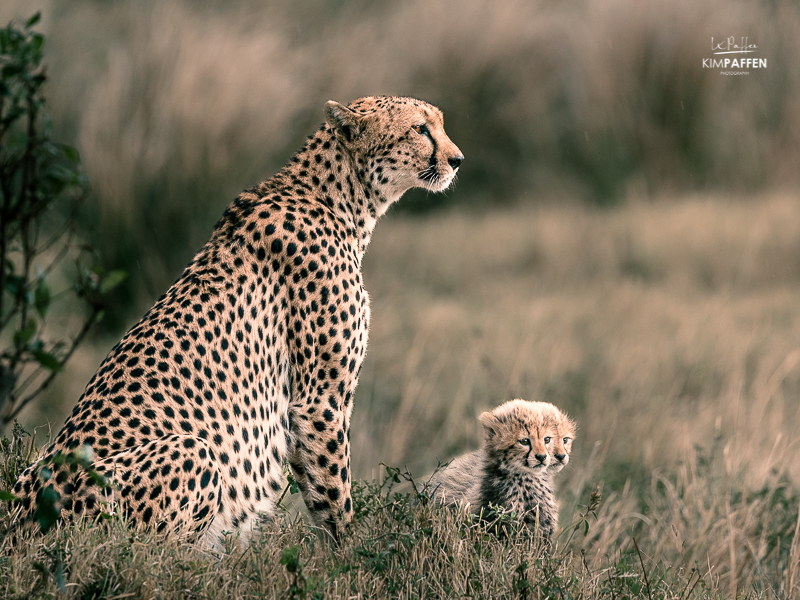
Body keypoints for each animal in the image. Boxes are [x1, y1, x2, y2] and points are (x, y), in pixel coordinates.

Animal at [10, 94, 462, 544]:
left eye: (439, 123)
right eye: (420, 129)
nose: (457, 160)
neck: (340, 198)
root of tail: (21, 524)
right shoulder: (318, 401)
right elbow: (334, 496)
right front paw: (351, 553)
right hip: (192, 452)